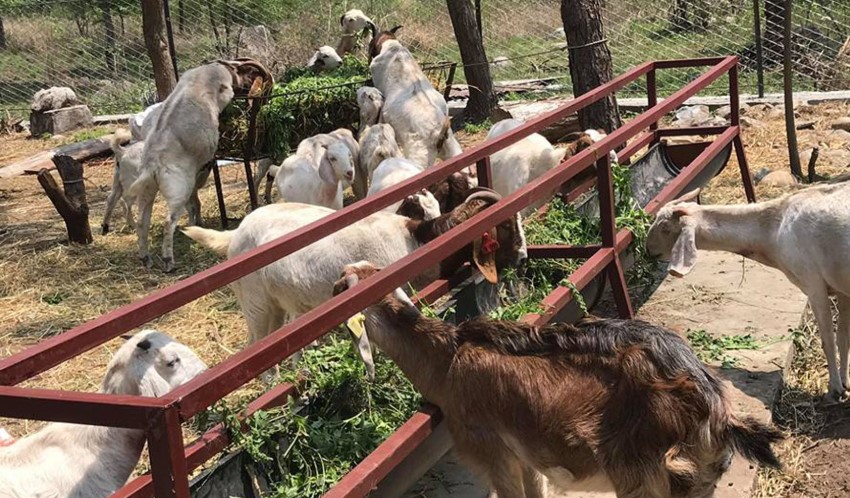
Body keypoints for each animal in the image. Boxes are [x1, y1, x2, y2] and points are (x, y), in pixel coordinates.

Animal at [332, 262, 780, 496]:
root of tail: (716, 410)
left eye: (341, 287)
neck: (447, 361)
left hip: (644, 478)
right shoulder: (527, 452)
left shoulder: (493, 452)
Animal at [644, 185, 848, 402]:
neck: (773, 231)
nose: (648, 250)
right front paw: (845, 383)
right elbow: (843, 337)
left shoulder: (813, 283)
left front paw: (834, 390)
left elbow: (828, 340)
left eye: (665, 228)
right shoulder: (842, 289)